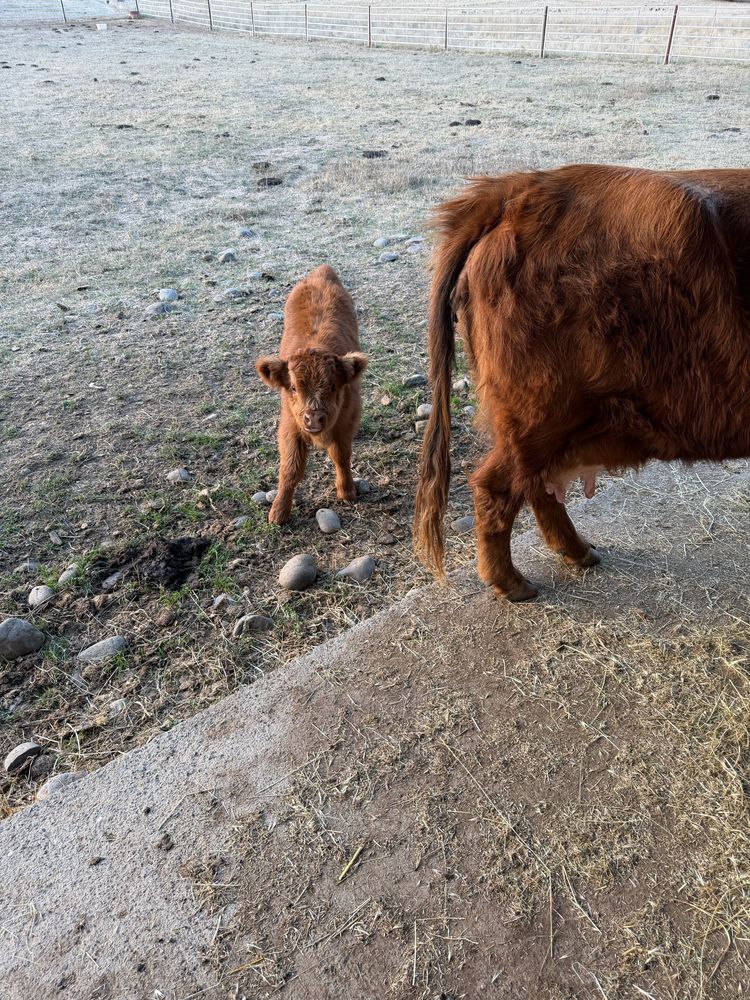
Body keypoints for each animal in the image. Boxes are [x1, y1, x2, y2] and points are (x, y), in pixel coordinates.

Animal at [256, 265, 368, 525]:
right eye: (293, 388)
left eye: (334, 386)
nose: (314, 417)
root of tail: (321, 272)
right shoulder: (290, 425)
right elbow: (290, 468)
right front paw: (278, 512)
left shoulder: (345, 422)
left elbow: (341, 455)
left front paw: (347, 492)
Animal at [414, 164, 750, 600]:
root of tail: (522, 188)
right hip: (541, 414)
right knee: (496, 487)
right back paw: (513, 584)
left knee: (533, 485)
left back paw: (577, 552)